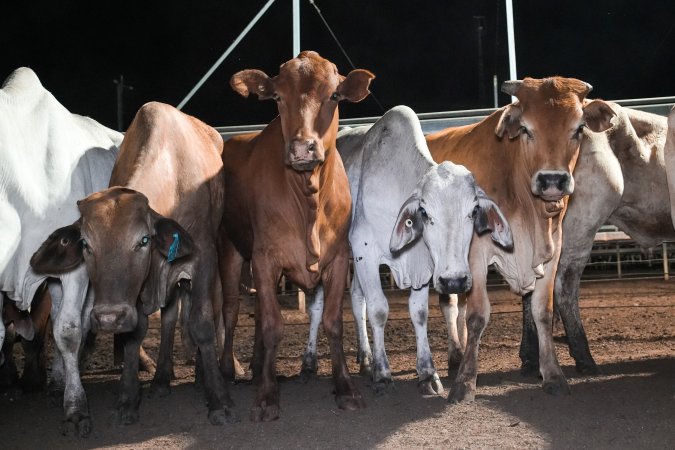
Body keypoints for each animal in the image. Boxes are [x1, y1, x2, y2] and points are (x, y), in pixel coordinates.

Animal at [32, 103, 238, 428]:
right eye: (86, 244)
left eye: (143, 240)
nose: (107, 318)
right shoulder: (139, 289)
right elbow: (135, 333)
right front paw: (128, 399)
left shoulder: (203, 256)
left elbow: (202, 323)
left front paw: (219, 400)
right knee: (168, 318)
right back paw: (162, 380)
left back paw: (201, 377)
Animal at [218, 50, 372, 422]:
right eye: (277, 97)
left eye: (335, 95)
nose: (303, 148)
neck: (307, 198)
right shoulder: (265, 258)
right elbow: (273, 325)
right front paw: (267, 396)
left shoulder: (338, 259)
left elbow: (333, 322)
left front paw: (346, 388)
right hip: (229, 248)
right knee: (231, 309)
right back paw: (232, 369)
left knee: (257, 310)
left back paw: (258, 365)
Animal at [302, 104, 512, 394]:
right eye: (424, 212)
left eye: (473, 211)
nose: (455, 281)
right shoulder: (365, 250)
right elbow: (379, 309)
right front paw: (383, 372)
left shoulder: (420, 265)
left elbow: (418, 313)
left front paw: (427, 373)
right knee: (317, 305)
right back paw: (310, 362)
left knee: (356, 299)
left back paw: (365, 358)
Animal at [428, 75, 616, 402]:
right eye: (526, 129)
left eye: (579, 128)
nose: (552, 181)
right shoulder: (475, 253)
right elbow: (477, 315)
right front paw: (465, 383)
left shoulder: (552, 251)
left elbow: (543, 312)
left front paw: (553, 375)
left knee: (454, 303)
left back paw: (455, 359)